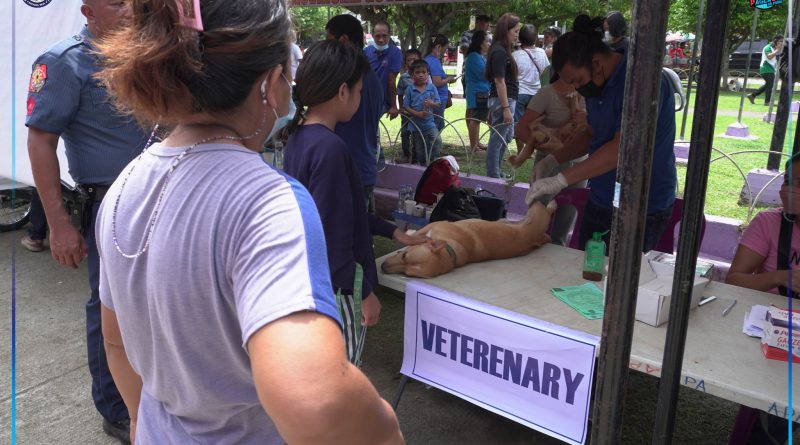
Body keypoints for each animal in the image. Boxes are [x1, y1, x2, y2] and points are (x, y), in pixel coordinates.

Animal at [382, 201, 556, 278]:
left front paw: (410, 233)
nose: (382, 267)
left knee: (546, 207)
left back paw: (551, 202)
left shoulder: (437, 224)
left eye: (408, 274)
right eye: (404, 255)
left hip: (536, 208)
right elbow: (419, 233)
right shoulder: (433, 227)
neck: (449, 250)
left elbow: (417, 233)